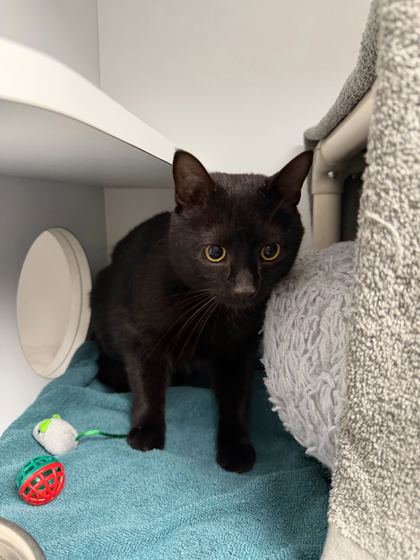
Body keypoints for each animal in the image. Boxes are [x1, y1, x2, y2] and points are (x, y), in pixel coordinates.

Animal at [90, 149, 313, 473]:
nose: (245, 289)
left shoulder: (237, 351)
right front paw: (146, 431)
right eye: (215, 252)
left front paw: (236, 447)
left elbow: (235, 397)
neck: (212, 314)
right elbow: (146, 383)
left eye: (270, 251)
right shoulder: (142, 337)